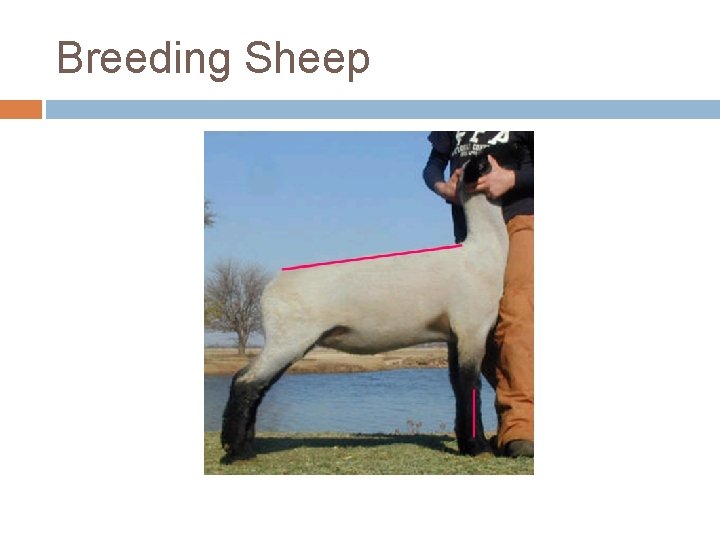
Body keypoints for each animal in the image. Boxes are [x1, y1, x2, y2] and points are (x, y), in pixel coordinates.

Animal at [221, 150, 513, 462]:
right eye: (490, 162)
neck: (483, 251)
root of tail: (270, 289)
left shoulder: (453, 335)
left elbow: (458, 386)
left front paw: (466, 444)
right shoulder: (472, 327)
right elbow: (471, 385)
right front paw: (478, 447)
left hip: (288, 340)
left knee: (253, 384)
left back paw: (245, 446)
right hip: (288, 337)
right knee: (246, 382)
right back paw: (236, 451)